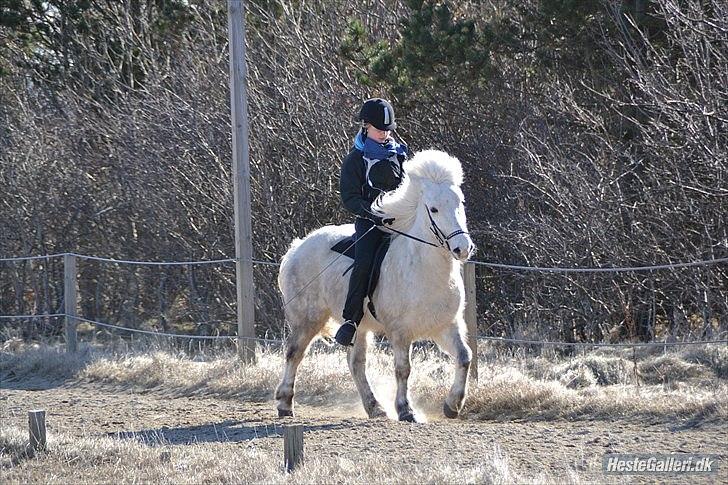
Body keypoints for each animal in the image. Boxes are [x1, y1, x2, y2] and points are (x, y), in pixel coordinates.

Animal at [276, 149, 474, 422]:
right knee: (294, 354)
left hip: (356, 327)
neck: (423, 269)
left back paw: (375, 408)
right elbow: (403, 369)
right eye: (433, 209)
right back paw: (285, 404)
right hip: (307, 319)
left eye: (460, 203)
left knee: (356, 363)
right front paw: (406, 410)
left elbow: (465, 357)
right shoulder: (400, 332)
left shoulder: (446, 326)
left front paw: (452, 405)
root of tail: (296, 248)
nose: (462, 248)